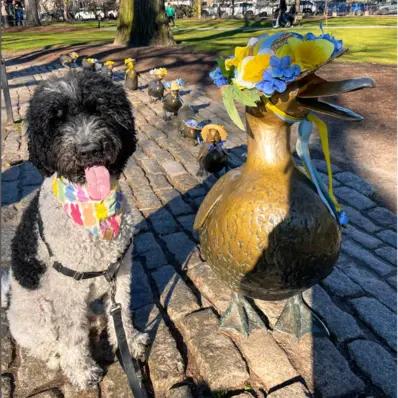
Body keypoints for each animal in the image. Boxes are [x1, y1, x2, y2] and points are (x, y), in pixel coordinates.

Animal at [6, 70, 149, 388]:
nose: (88, 150)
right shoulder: (67, 293)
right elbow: (72, 336)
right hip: (39, 314)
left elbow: (121, 310)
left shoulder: (121, 272)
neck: (94, 210)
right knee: (49, 344)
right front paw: (82, 372)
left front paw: (130, 342)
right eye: (56, 120)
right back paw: (59, 358)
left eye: (100, 109)